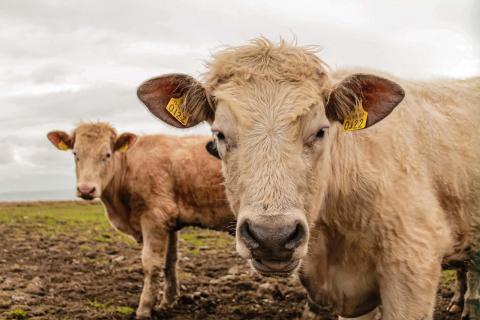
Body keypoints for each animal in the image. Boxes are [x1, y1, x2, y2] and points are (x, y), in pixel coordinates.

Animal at [46, 122, 233, 318]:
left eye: (107, 154)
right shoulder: (171, 222)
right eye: (75, 153)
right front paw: (167, 302)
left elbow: (151, 263)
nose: (86, 189)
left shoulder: (155, 215)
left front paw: (144, 309)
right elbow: (169, 261)